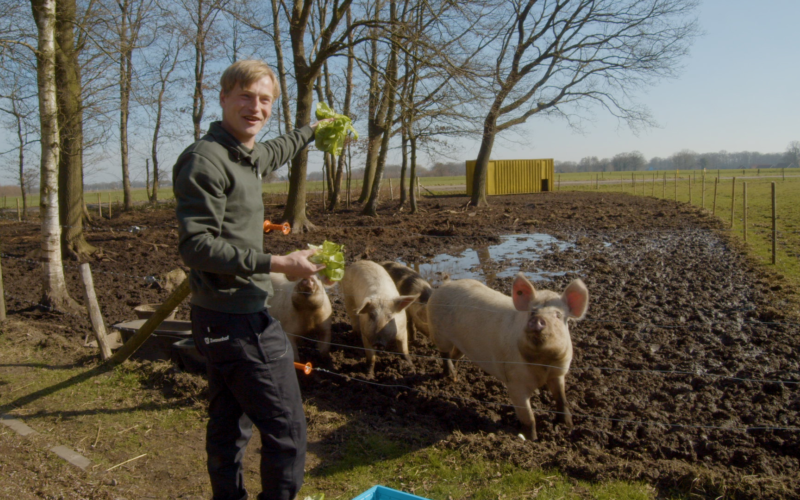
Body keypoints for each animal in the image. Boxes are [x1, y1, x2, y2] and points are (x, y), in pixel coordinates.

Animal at [428, 272, 592, 440]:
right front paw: (531, 439)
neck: (542, 362)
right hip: (439, 332)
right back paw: (450, 375)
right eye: (532, 311)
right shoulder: (515, 381)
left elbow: (561, 398)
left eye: (558, 315)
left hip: (461, 344)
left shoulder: (558, 372)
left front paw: (568, 425)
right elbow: (528, 416)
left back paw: (456, 377)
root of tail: (445, 285)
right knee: (445, 354)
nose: (537, 320)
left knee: (455, 355)